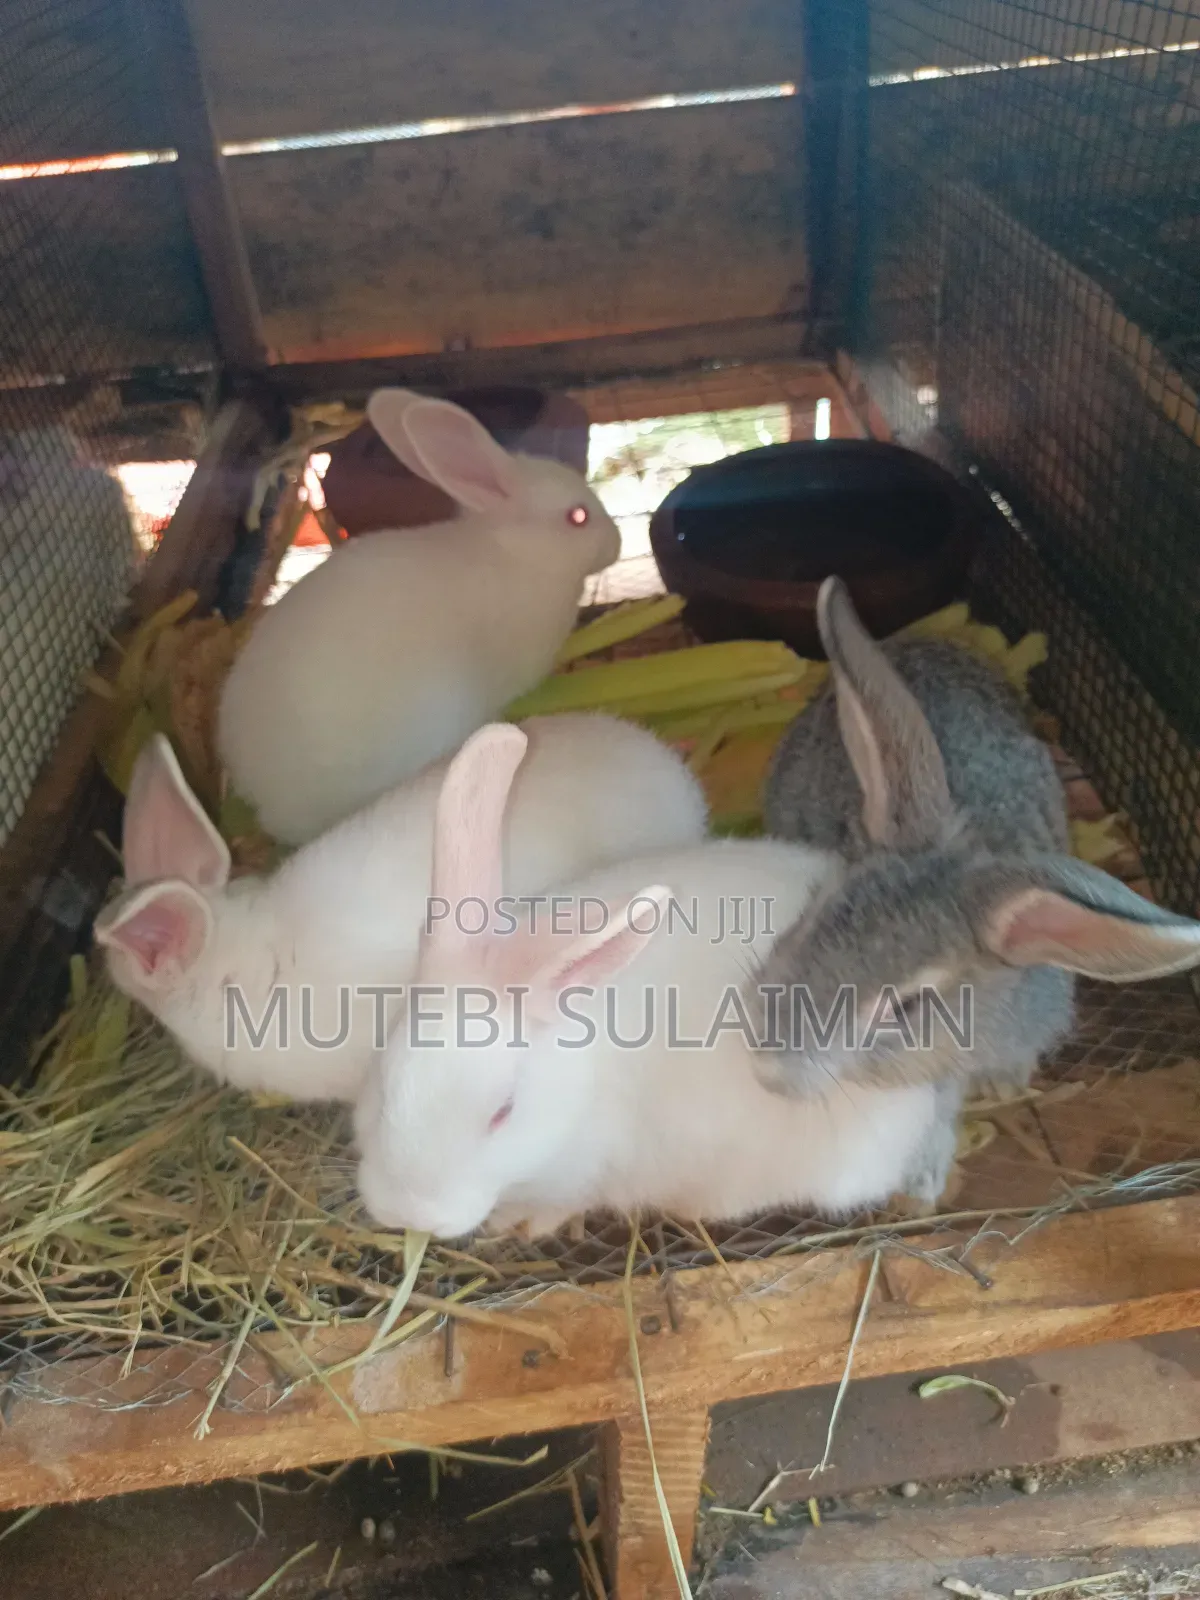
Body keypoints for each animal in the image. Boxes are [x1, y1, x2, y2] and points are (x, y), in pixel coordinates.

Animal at [353, 722, 958, 1242]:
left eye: (502, 1113)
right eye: (384, 1085)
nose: (410, 1216)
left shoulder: (591, 1171)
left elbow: (562, 1202)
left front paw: (518, 1222)